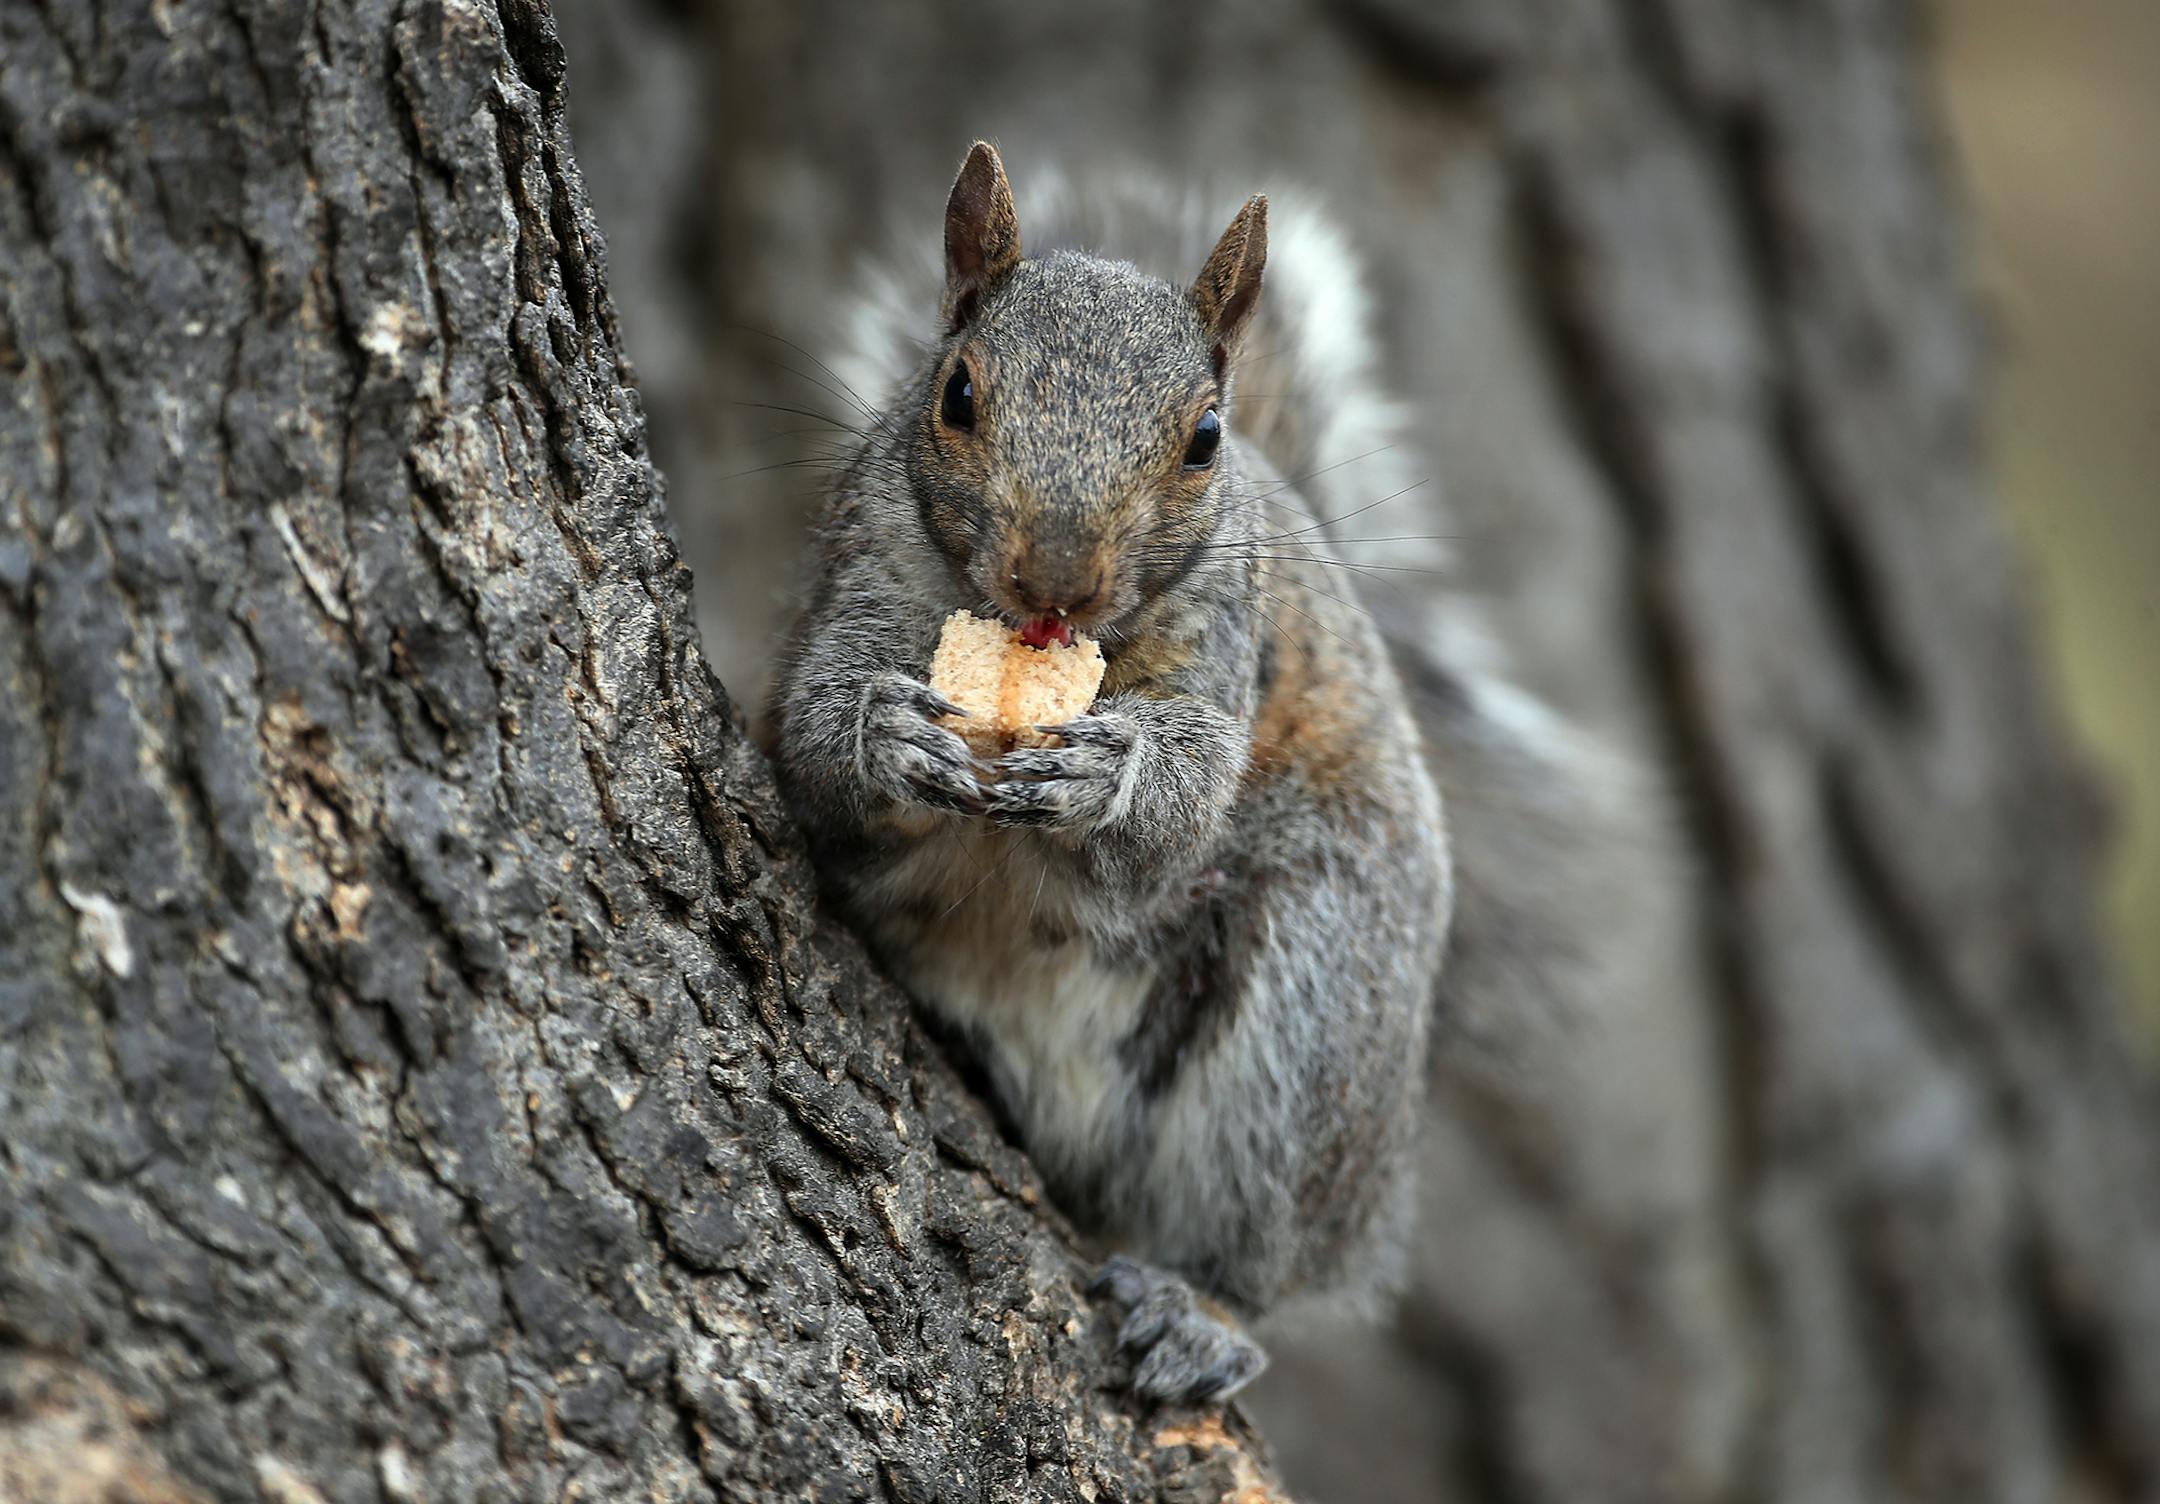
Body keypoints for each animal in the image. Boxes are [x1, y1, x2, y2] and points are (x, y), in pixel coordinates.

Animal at [766, 141, 1463, 1404]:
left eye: (1204, 440)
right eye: (957, 392)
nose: (1057, 579)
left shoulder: (1231, 645)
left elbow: (1166, 828)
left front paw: (1115, 774)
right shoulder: (848, 581)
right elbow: (811, 746)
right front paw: (882, 736)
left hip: (1324, 1002)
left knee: (1268, 1245)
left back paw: (1209, 1313)